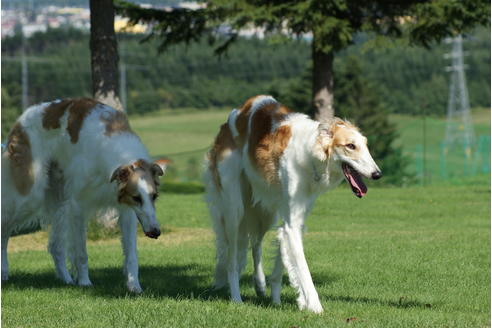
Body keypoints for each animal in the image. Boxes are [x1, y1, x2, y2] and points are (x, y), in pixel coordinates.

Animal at [1, 98, 167, 294]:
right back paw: (4, 273)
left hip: (59, 201)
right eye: (137, 198)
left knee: (55, 246)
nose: (155, 232)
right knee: (5, 228)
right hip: (30, 193)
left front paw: (134, 286)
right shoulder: (79, 206)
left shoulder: (126, 210)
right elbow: (81, 254)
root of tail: (21, 120)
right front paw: (85, 282)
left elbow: (132, 255)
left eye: (154, 196)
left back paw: (65, 279)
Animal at [204, 94, 380, 312]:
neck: (309, 154)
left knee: (256, 243)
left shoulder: (294, 218)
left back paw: (260, 284)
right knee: (232, 259)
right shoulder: (292, 223)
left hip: (264, 213)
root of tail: (234, 116)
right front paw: (315, 306)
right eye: (350, 146)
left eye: (366, 145)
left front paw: (281, 300)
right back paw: (236, 298)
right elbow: (302, 267)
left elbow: (282, 259)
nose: (377, 174)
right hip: (234, 209)